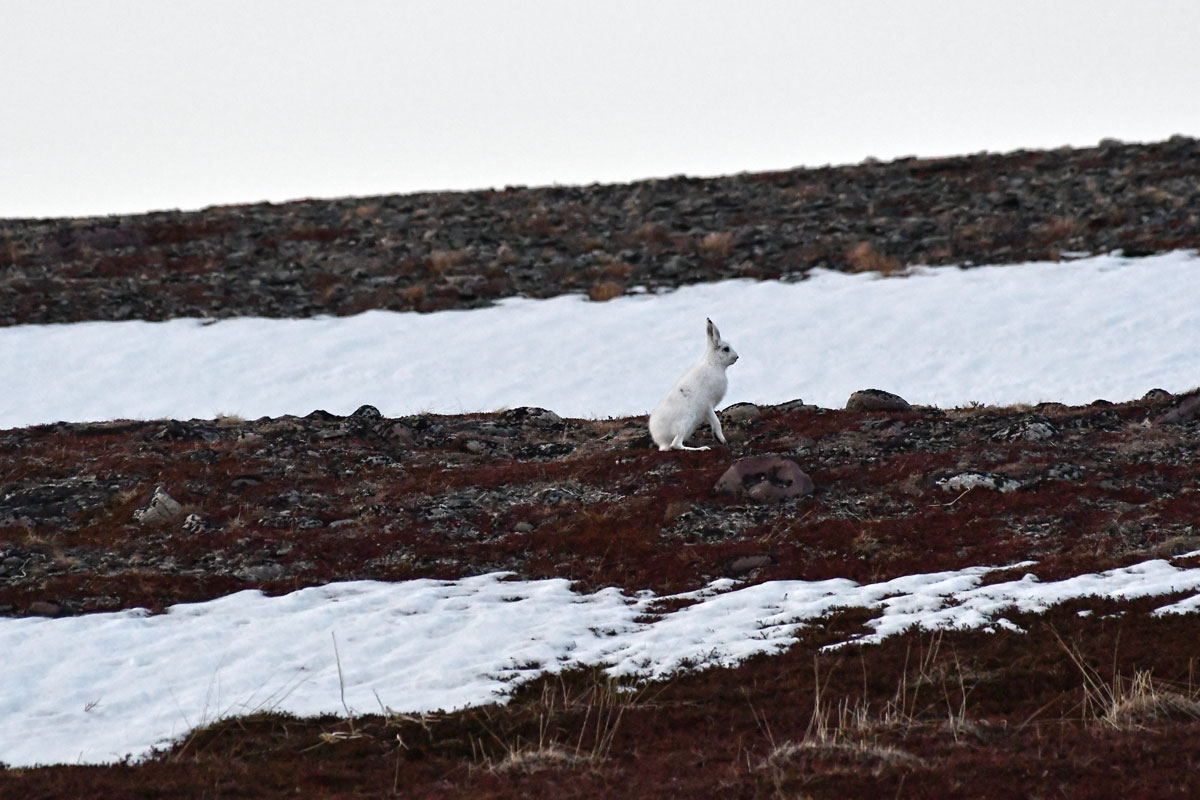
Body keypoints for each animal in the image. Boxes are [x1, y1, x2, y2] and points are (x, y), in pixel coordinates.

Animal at [649, 318, 739, 451]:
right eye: (726, 349)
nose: (737, 357)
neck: (714, 364)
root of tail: (661, 441)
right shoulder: (708, 405)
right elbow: (717, 422)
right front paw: (723, 440)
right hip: (686, 421)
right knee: (676, 444)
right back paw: (702, 448)